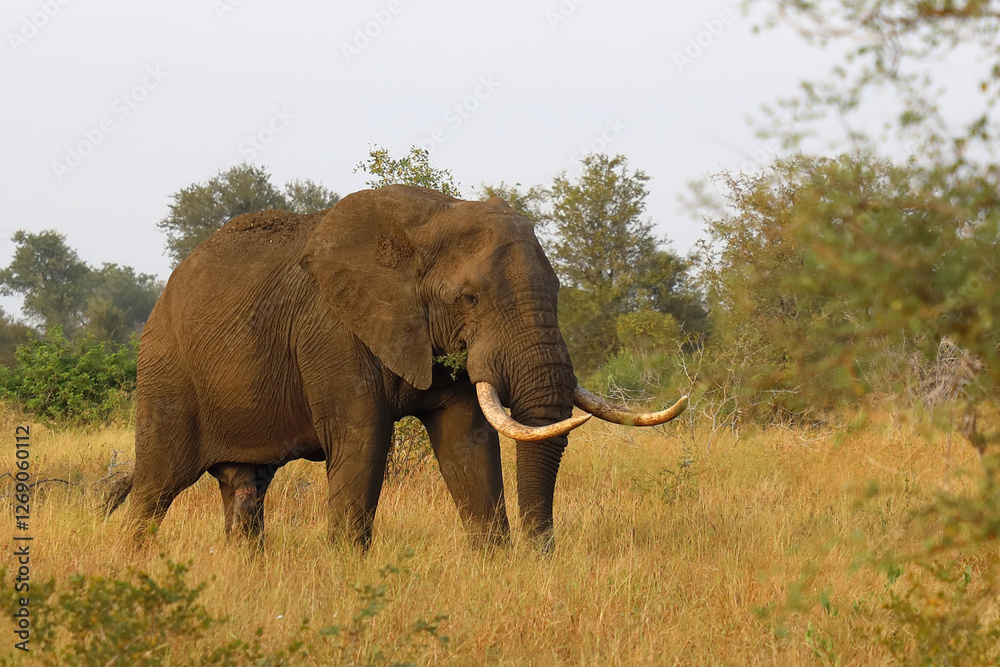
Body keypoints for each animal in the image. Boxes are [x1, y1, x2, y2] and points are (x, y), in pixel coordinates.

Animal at [104, 185, 687, 551]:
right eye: (470, 298)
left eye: (561, 291)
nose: (542, 555)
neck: (429, 221)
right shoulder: (334, 331)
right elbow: (363, 441)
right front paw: (345, 573)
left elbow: (467, 443)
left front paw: (494, 565)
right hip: (166, 370)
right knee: (156, 488)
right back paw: (133, 565)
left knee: (244, 489)